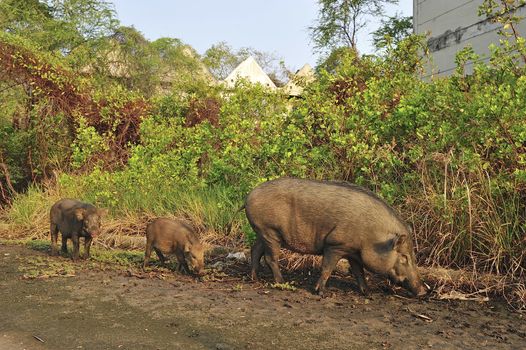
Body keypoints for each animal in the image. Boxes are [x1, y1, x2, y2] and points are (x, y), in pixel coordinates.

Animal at [245, 179, 426, 296]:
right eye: (404, 257)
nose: (424, 291)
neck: (373, 237)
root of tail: (249, 195)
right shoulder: (335, 245)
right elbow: (327, 267)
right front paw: (321, 293)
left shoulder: (353, 252)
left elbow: (359, 273)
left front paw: (367, 293)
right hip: (270, 231)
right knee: (270, 258)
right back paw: (282, 282)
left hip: (263, 232)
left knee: (255, 250)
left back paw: (255, 279)